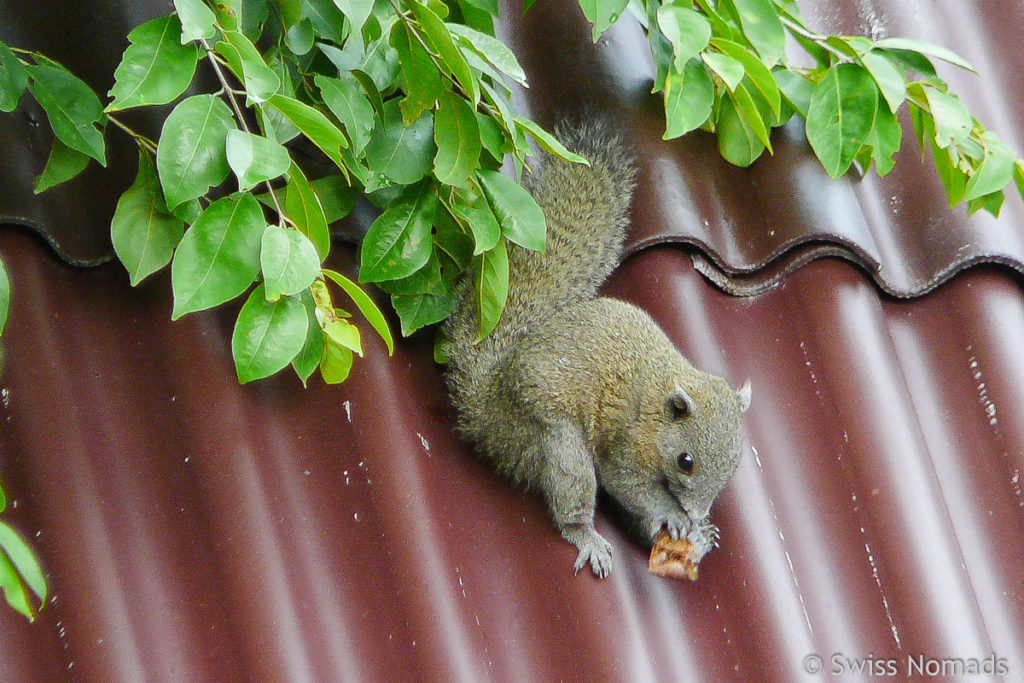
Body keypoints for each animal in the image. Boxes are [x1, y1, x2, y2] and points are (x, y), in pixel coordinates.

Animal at [442, 120, 753, 581]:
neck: (656, 400)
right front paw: (673, 515)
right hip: (552, 438)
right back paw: (585, 534)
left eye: (733, 465)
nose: (697, 514)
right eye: (685, 461)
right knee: (571, 489)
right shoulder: (625, 441)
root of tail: (489, 410)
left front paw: (698, 531)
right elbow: (629, 484)